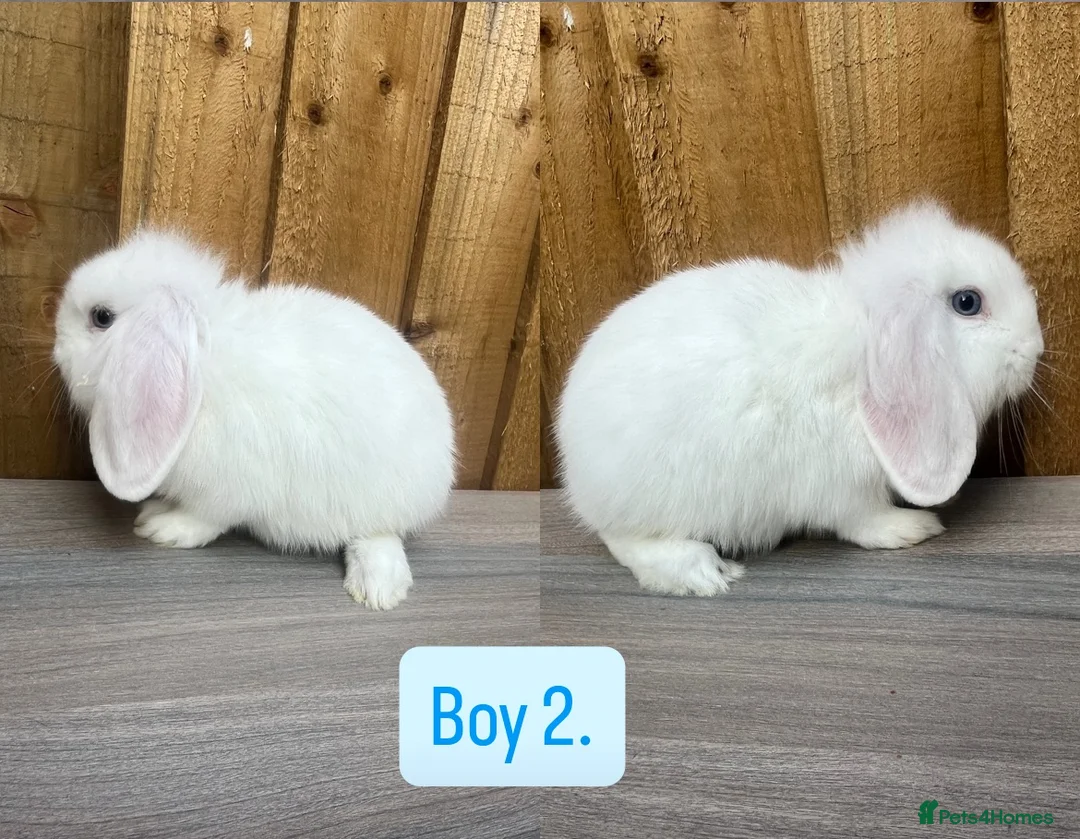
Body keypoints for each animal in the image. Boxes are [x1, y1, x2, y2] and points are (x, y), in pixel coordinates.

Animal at [52, 230, 456, 611]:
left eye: (101, 317)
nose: (56, 347)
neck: (203, 365)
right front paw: (153, 511)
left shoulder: (230, 489)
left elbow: (206, 519)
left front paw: (162, 529)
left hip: (380, 502)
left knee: (380, 535)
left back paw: (378, 590)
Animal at [555, 200, 1044, 597]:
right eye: (967, 302)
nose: (1035, 349)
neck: (864, 358)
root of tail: (574, 466)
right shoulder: (843, 488)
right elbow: (863, 521)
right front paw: (913, 528)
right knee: (626, 541)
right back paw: (703, 572)